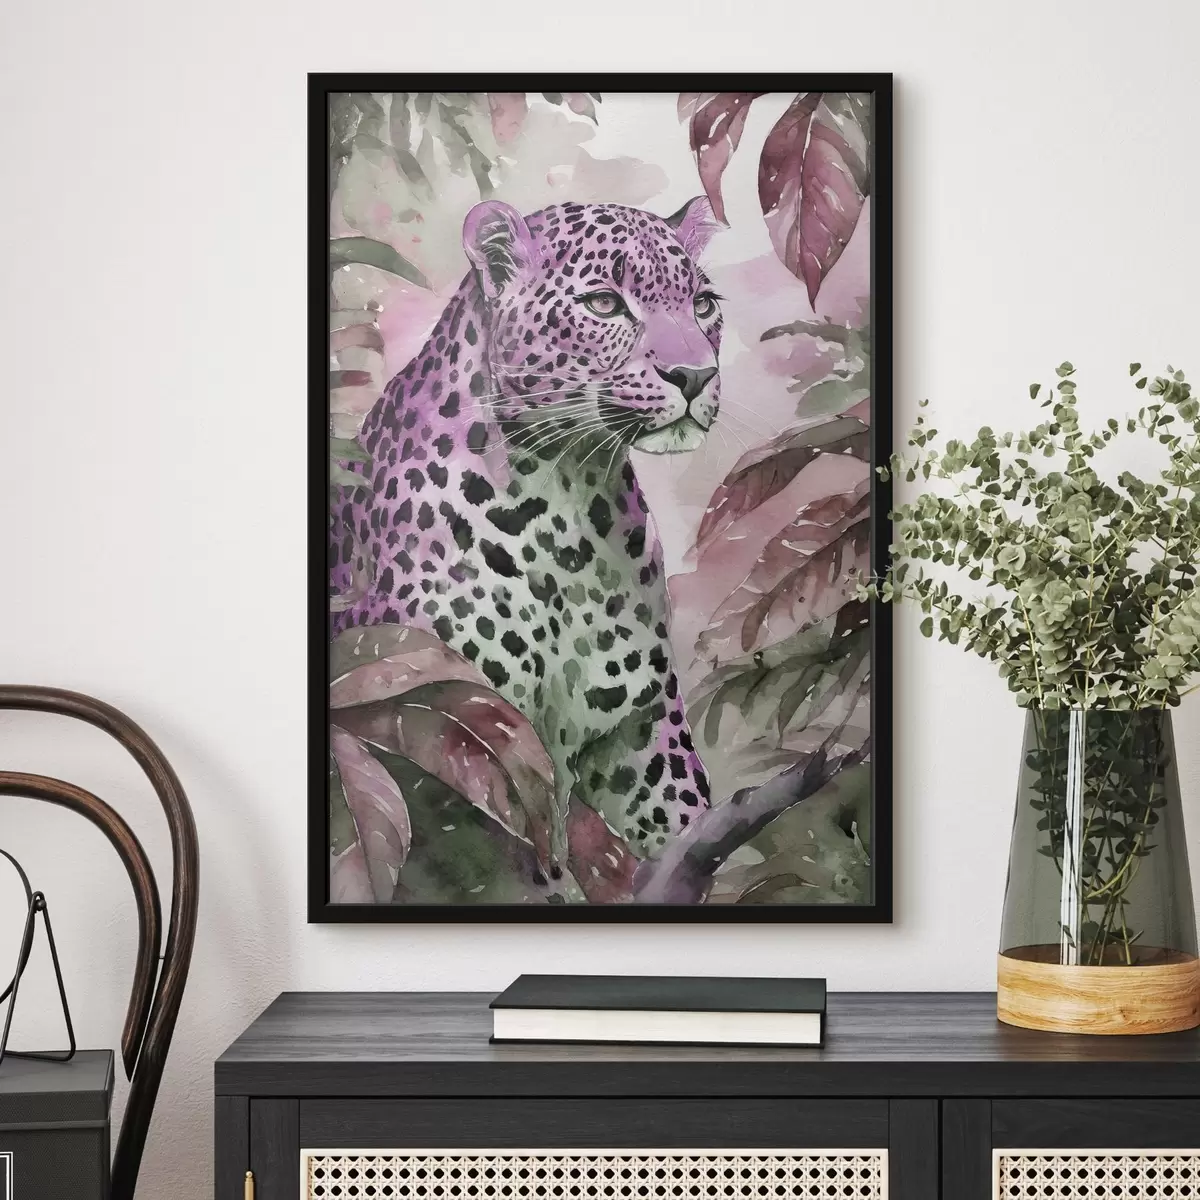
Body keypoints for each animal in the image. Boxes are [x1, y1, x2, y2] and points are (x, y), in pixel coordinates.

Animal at [330, 195, 725, 885]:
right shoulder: (461, 712)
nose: (695, 376)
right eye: (604, 304)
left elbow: (682, 813)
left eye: (702, 304)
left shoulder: (642, 732)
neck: (569, 503)